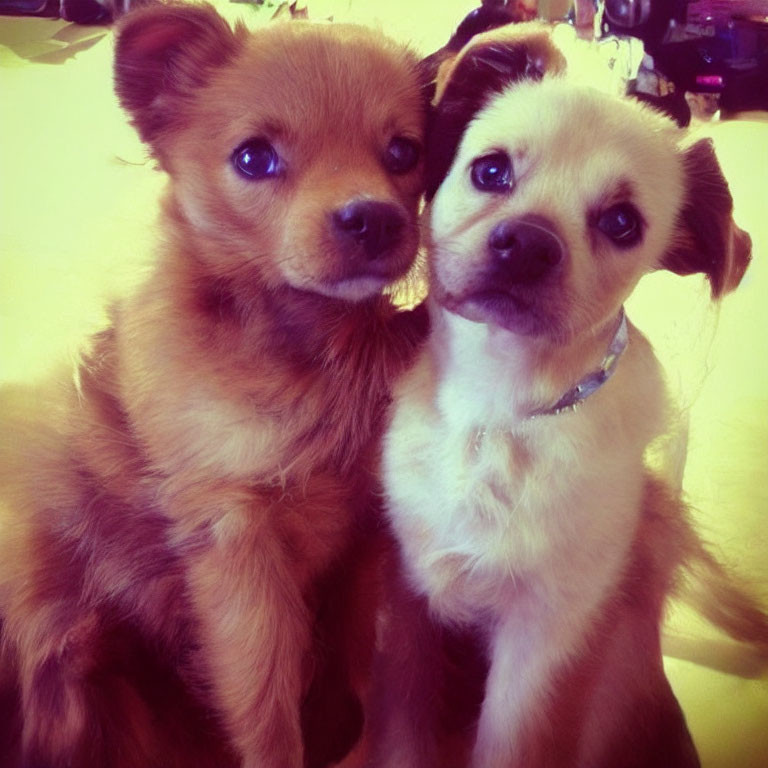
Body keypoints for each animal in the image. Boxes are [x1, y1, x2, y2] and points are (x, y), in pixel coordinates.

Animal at [0, 6, 426, 768]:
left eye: (404, 152)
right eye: (254, 159)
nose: (373, 217)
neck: (316, 350)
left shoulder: (365, 536)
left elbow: (353, 658)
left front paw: (346, 728)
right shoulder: (233, 543)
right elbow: (266, 713)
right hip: (67, 650)